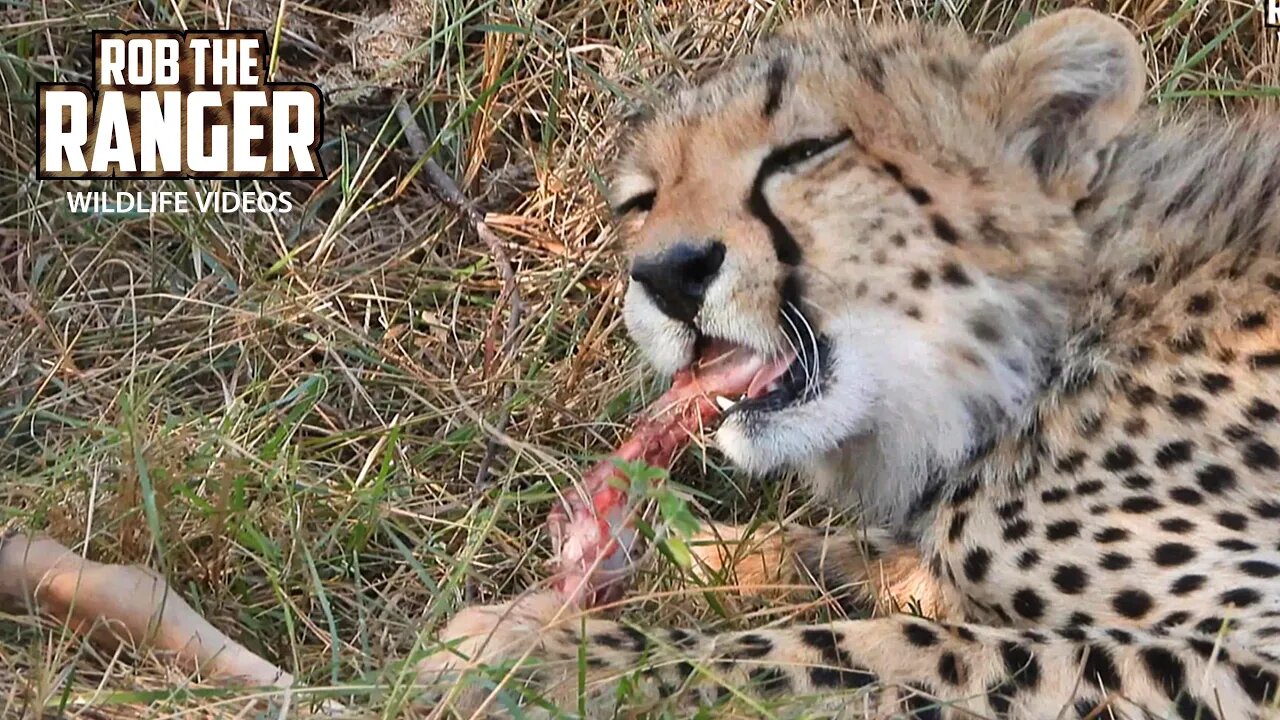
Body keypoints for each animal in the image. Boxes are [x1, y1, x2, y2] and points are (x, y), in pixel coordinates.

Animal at [419, 11, 1280, 717]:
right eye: (642, 200)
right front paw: (700, 551)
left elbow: (886, 649)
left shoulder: (1253, 657)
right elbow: (882, 572)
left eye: (805, 153)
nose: (669, 273)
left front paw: (548, 664)